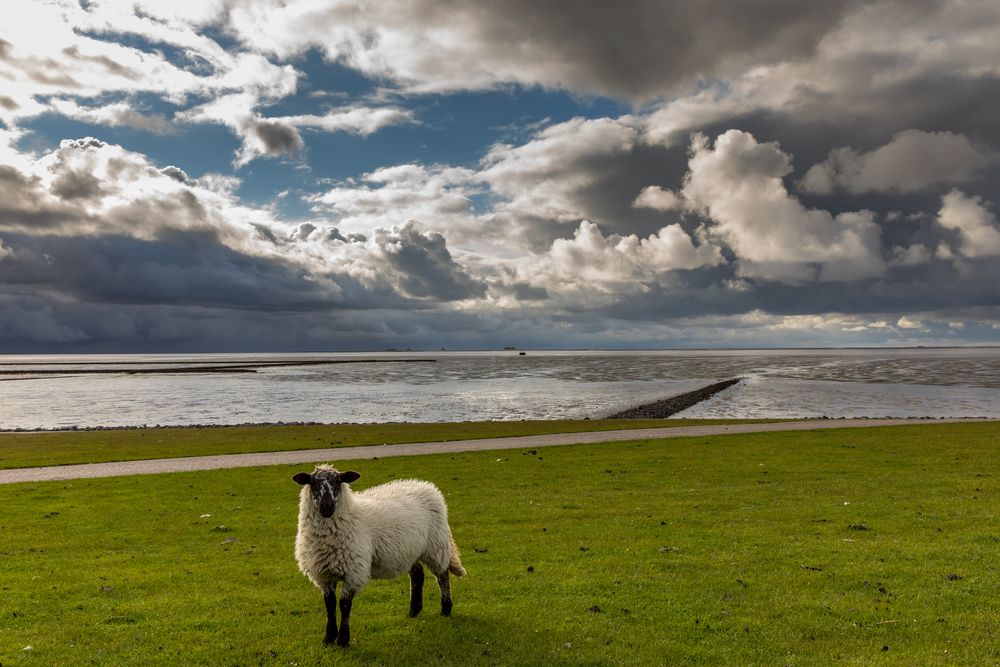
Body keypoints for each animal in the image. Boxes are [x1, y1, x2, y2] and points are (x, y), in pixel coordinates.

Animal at [292, 464, 466, 648]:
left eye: (338, 481)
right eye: (312, 483)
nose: (326, 506)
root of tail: (425, 485)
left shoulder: (354, 572)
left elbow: (344, 605)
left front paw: (343, 640)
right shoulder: (323, 575)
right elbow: (330, 606)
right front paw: (328, 639)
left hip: (435, 546)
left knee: (442, 575)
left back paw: (446, 609)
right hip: (411, 550)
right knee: (417, 575)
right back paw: (414, 611)